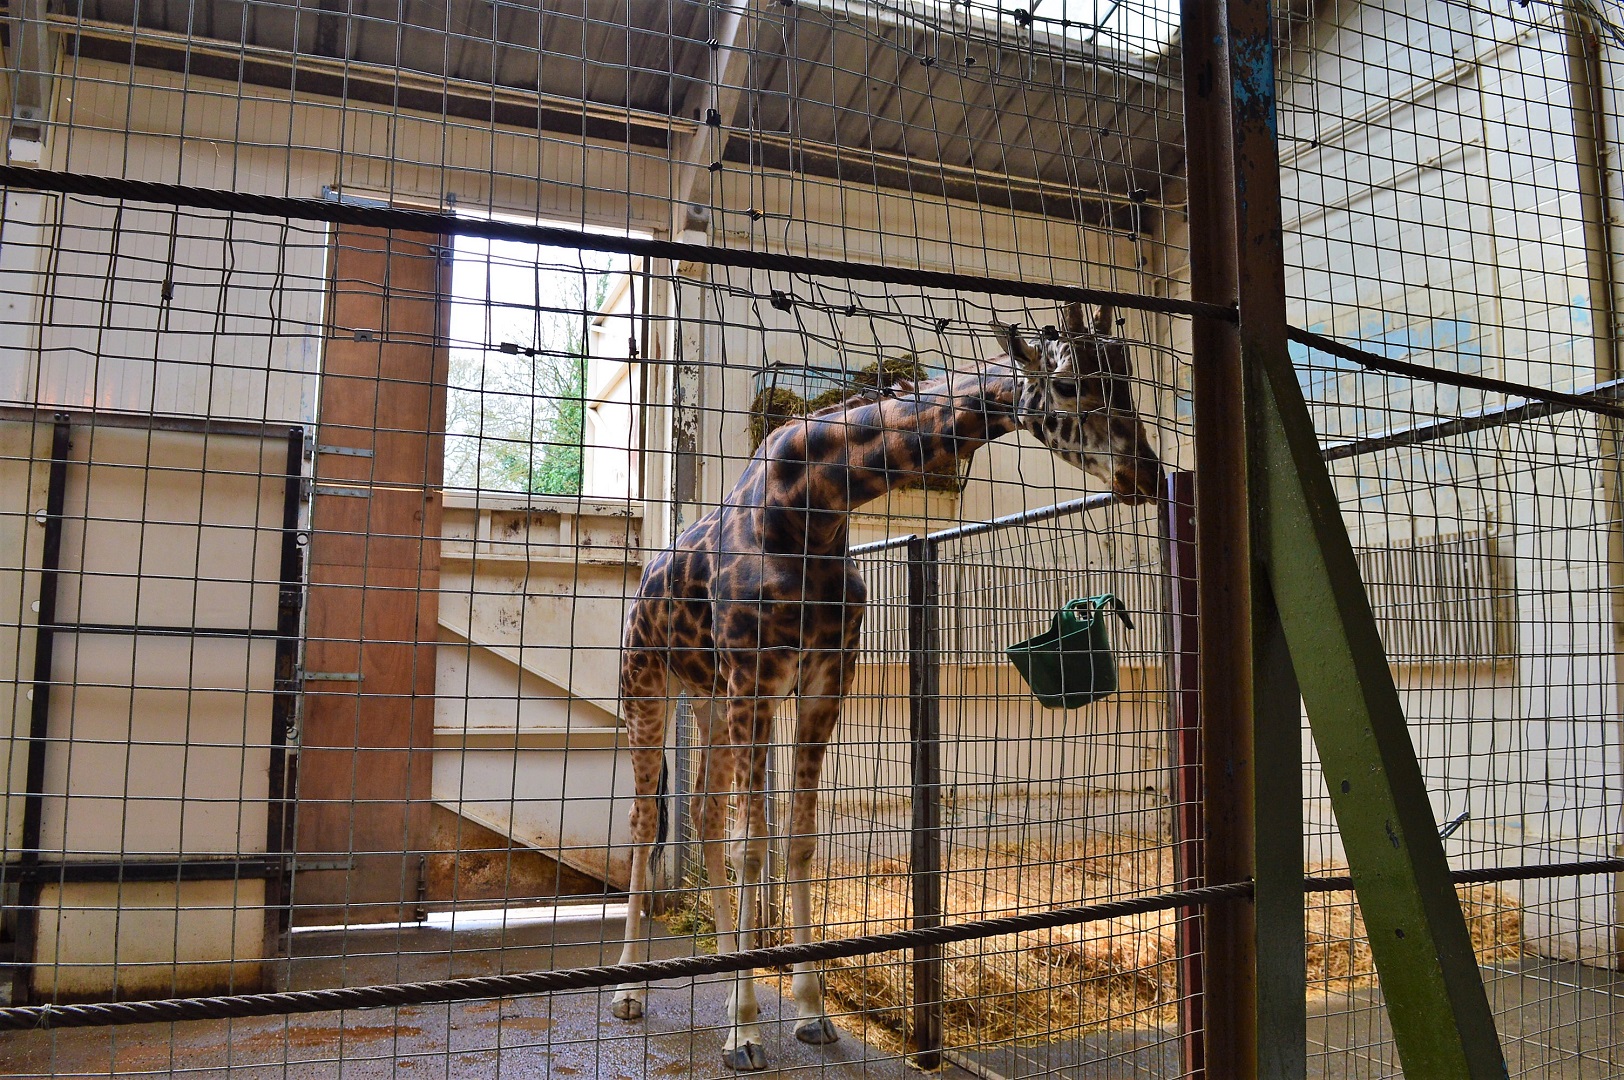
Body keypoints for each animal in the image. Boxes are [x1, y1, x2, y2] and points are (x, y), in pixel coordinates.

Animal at [608, 301, 1164, 1070]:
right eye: (1070, 385)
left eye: (1128, 379)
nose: (1147, 473)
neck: (814, 503)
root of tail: (642, 587)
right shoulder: (756, 672)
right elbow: (757, 846)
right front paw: (745, 1030)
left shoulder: (821, 677)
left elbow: (796, 840)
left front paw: (807, 1011)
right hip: (650, 687)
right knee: (644, 822)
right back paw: (630, 989)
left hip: (711, 697)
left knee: (703, 816)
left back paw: (717, 971)